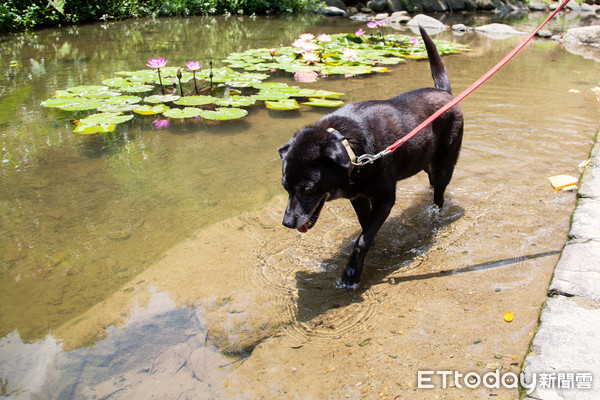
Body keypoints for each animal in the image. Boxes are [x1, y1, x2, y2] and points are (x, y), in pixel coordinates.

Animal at [278, 25, 464, 288]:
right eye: (285, 187)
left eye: (308, 188)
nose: (288, 223)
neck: (353, 151)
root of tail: (445, 93)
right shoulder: (358, 198)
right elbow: (365, 227)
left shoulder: (385, 199)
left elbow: (362, 240)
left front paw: (351, 273)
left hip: (443, 165)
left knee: (439, 198)